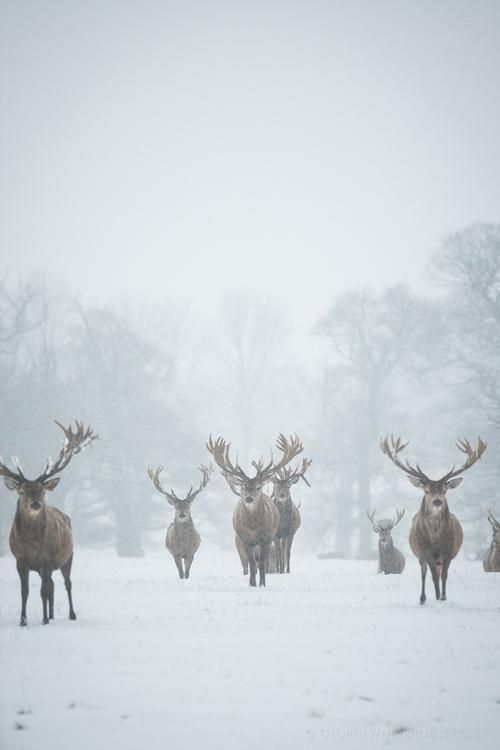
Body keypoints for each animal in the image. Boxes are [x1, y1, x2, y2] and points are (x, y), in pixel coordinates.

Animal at [0, 424, 97, 628]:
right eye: (21, 491)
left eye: (42, 491)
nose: (36, 503)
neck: (32, 544)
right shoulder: (20, 559)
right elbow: (25, 591)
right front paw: (23, 620)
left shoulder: (47, 558)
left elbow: (43, 591)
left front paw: (43, 620)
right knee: (51, 585)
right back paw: (51, 615)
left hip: (67, 557)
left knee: (66, 583)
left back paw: (69, 615)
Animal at [206, 434, 300, 588]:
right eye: (243, 487)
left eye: (258, 487)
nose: (249, 499)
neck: (253, 527)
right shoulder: (245, 539)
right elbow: (251, 563)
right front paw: (252, 584)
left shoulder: (267, 538)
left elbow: (262, 563)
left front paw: (262, 584)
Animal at [380, 434, 486, 604]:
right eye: (426, 490)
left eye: (444, 490)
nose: (437, 501)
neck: (436, 539)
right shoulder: (426, 551)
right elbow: (434, 577)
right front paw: (437, 598)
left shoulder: (448, 552)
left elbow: (444, 576)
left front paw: (443, 598)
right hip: (421, 557)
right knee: (424, 574)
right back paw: (422, 598)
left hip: (439, 559)